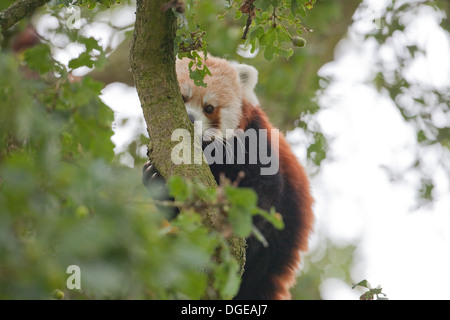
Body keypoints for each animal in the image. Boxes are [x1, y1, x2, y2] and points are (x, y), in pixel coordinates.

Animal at [143, 53, 312, 298]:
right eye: (182, 97)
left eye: (209, 108)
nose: (190, 119)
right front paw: (155, 178)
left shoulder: (255, 144)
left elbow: (261, 195)